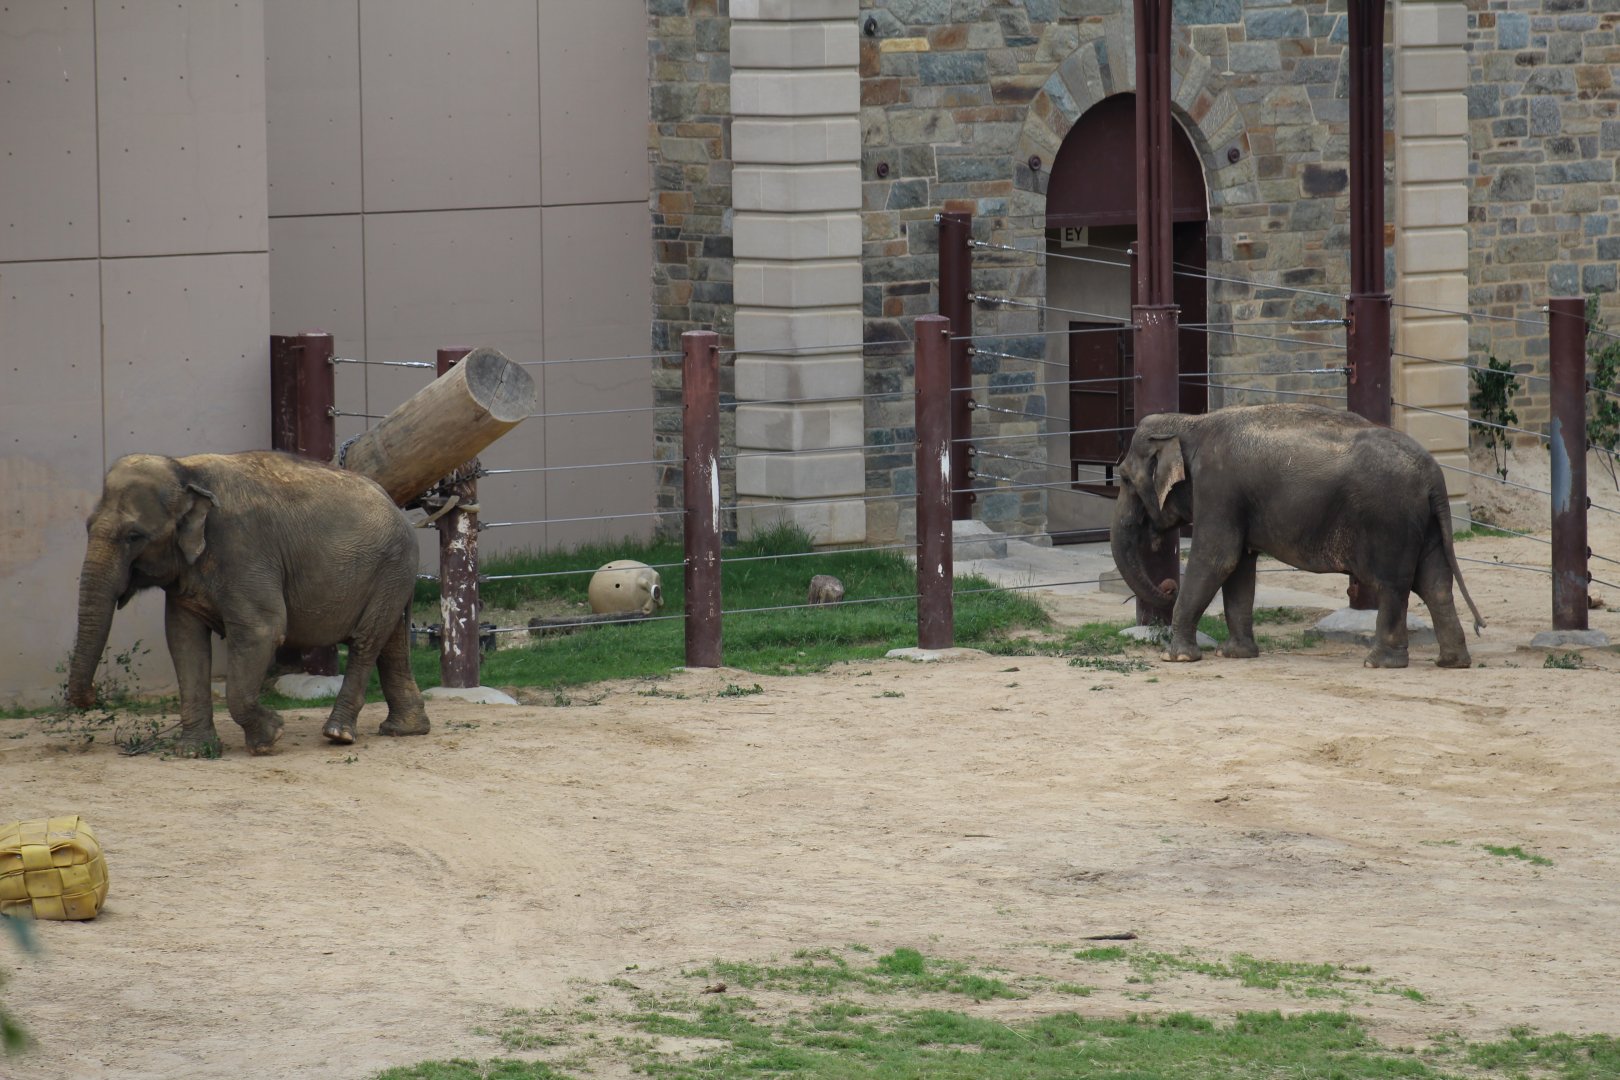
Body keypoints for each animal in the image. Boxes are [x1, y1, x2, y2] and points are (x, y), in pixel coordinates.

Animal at [65, 451, 431, 754]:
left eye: (134, 536)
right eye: (87, 527)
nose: (93, 695)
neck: (186, 470)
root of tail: (397, 507)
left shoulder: (244, 551)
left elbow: (262, 630)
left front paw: (271, 737)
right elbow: (184, 640)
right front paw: (194, 752)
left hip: (392, 567)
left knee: (366, 641)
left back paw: (338, 735)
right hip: (392, 575)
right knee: (391, 642)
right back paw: (404, 730)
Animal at [1109, 403, 1486, 668]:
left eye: (1125, 478)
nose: (1168, 586)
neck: (1190, 422)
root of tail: (1435, 476)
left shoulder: (1218, 491)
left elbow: (1217, 559)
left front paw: (1176, 658)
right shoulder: (1235, 502)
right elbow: (1239, 567)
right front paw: (1235, 655)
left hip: (1392, 521)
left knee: (1393, 584)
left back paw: (1379, 663)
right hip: (1424, 523)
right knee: (1435, 583)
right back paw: (1451, 662)